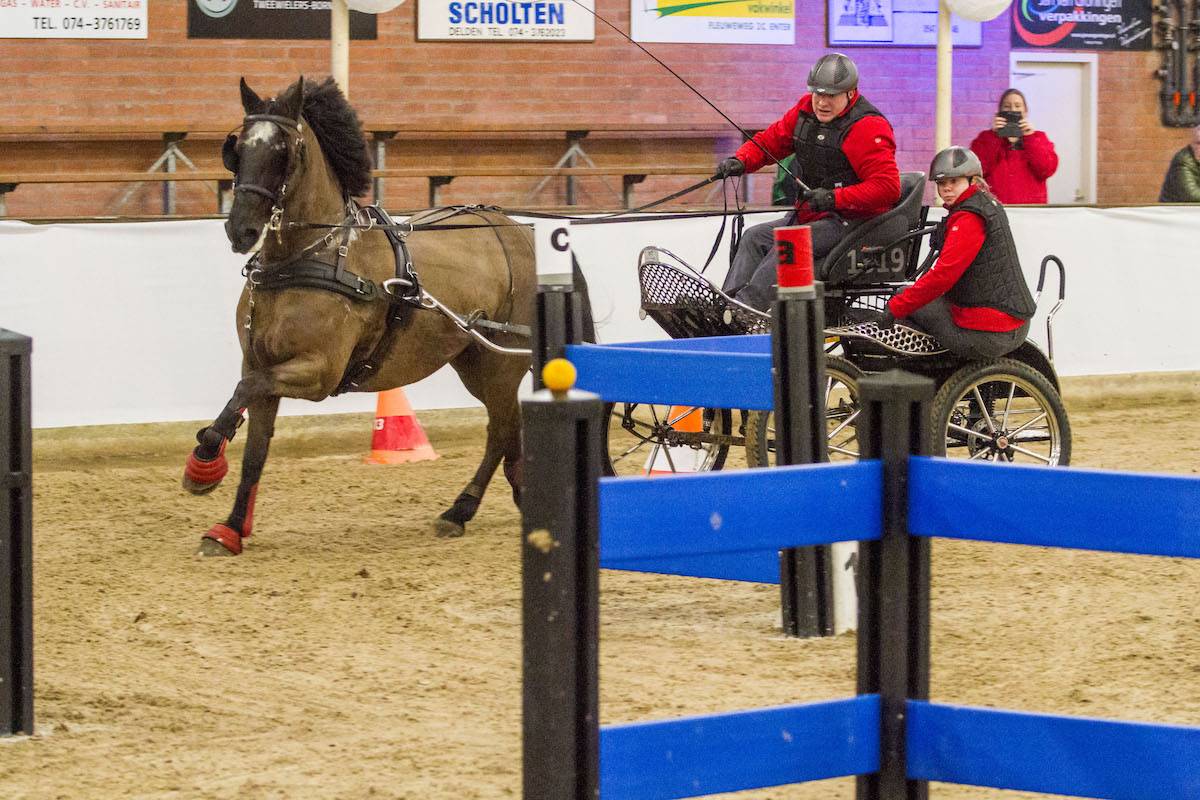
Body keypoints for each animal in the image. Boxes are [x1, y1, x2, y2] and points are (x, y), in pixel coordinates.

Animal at [183, 76, 586, 556]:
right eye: (238, 148)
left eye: (283, 151)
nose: (240, 229)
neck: (308, 259)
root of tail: (519, 231)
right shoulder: (260, 363)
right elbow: (255, 449)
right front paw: (229, 528)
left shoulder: (318, 372)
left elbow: (242, 394)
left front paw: (204, 461)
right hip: (474, 362)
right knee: (509, 429)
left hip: (501, 363)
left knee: (501, 429)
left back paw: (460, 510)